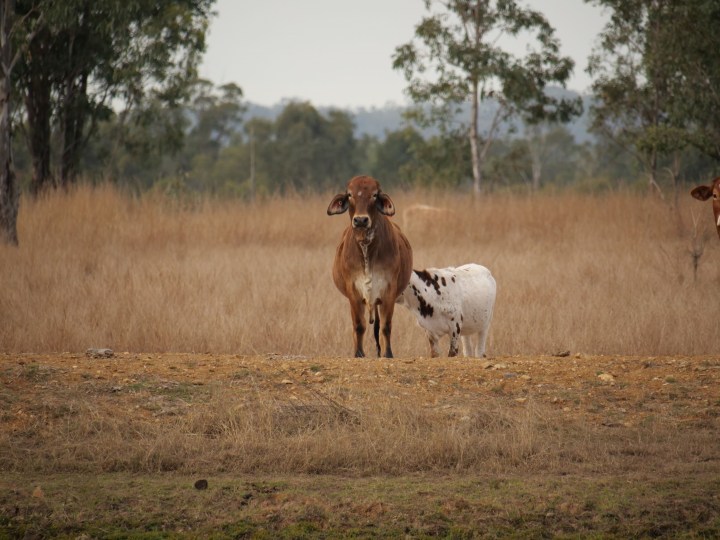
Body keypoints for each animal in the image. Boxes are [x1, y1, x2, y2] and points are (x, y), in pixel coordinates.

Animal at [327, 176, 413, 358]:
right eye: (350, 194)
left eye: (374, 195)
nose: (360, 220)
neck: (366, 247)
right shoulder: (353, 292)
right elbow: (359, 326)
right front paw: (359, 353)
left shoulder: (388, 291)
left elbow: (386, 327)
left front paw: (388, 353)